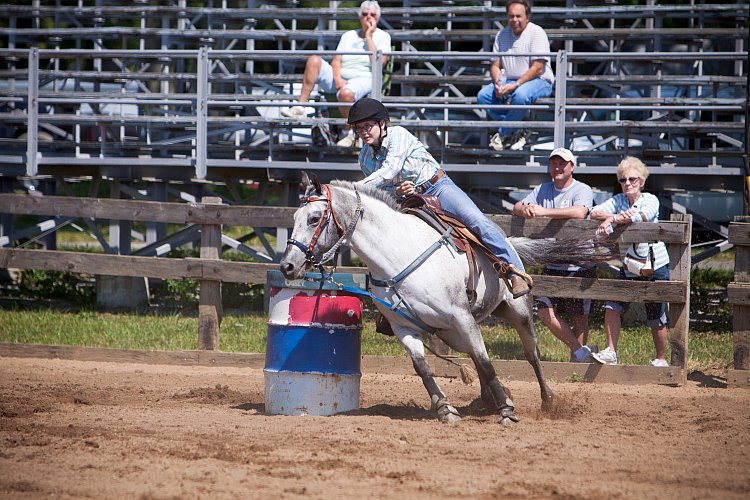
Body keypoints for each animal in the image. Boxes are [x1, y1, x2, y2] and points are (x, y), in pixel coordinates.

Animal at [280, 174, 612, 424]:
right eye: (294, 217)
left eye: (314, 218)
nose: (288, 266)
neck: (398, 254)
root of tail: (510, 244)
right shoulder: (404, 327)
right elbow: (423, 367)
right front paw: (445, 409)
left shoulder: (459, 315)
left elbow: (486, 362)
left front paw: (506, 410)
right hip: (451, 333)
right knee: (476, 356)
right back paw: (486, 400)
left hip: (516, 312)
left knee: (530, 353)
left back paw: (547, 400)